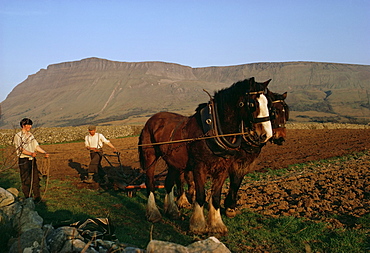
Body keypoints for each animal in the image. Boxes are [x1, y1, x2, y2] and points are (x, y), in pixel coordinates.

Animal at [139, 77, 272, 233]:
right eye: (252, 104)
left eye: (268, 103)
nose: (266, 135)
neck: (214, 130)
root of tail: (152, 119)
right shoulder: (199, 167)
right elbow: (201, 195)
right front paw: (198, 225)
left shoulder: (223, 170)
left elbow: (215, 196)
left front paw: (217, 225)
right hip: (150, 156)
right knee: (150, 183)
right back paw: (153, 213)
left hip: (174, 162)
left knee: (168, 183)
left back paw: (172, 211)